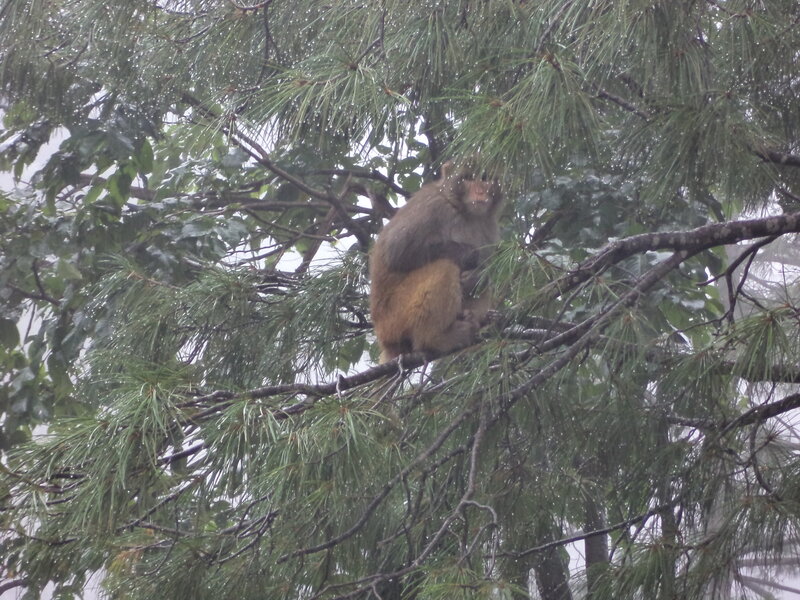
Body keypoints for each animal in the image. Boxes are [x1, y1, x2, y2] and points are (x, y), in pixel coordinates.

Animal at [369, 159, 503, 363]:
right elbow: (395, 250)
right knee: (444, 267)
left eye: (484, 178)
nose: (480, 191)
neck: (463, 211)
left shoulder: (489, 225)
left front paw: (476, 277)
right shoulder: (432, 205)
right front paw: (469, 254)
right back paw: (434, 339)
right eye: (468, 178)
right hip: (393, 319)